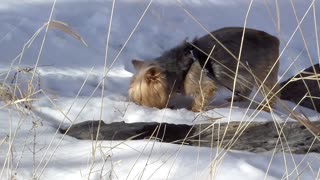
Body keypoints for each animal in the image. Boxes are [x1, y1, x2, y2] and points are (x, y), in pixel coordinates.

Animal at [129, 27, 278, 111]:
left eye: (140, 98)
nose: (136, 105)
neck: (180, 68)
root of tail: (274, 39)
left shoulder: (204, 83)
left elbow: (202, 97)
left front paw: (194, 110)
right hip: (243, 73)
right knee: (246, 86)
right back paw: (238, 98)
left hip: (264, 72)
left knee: (271, 91)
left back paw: (265, 107)